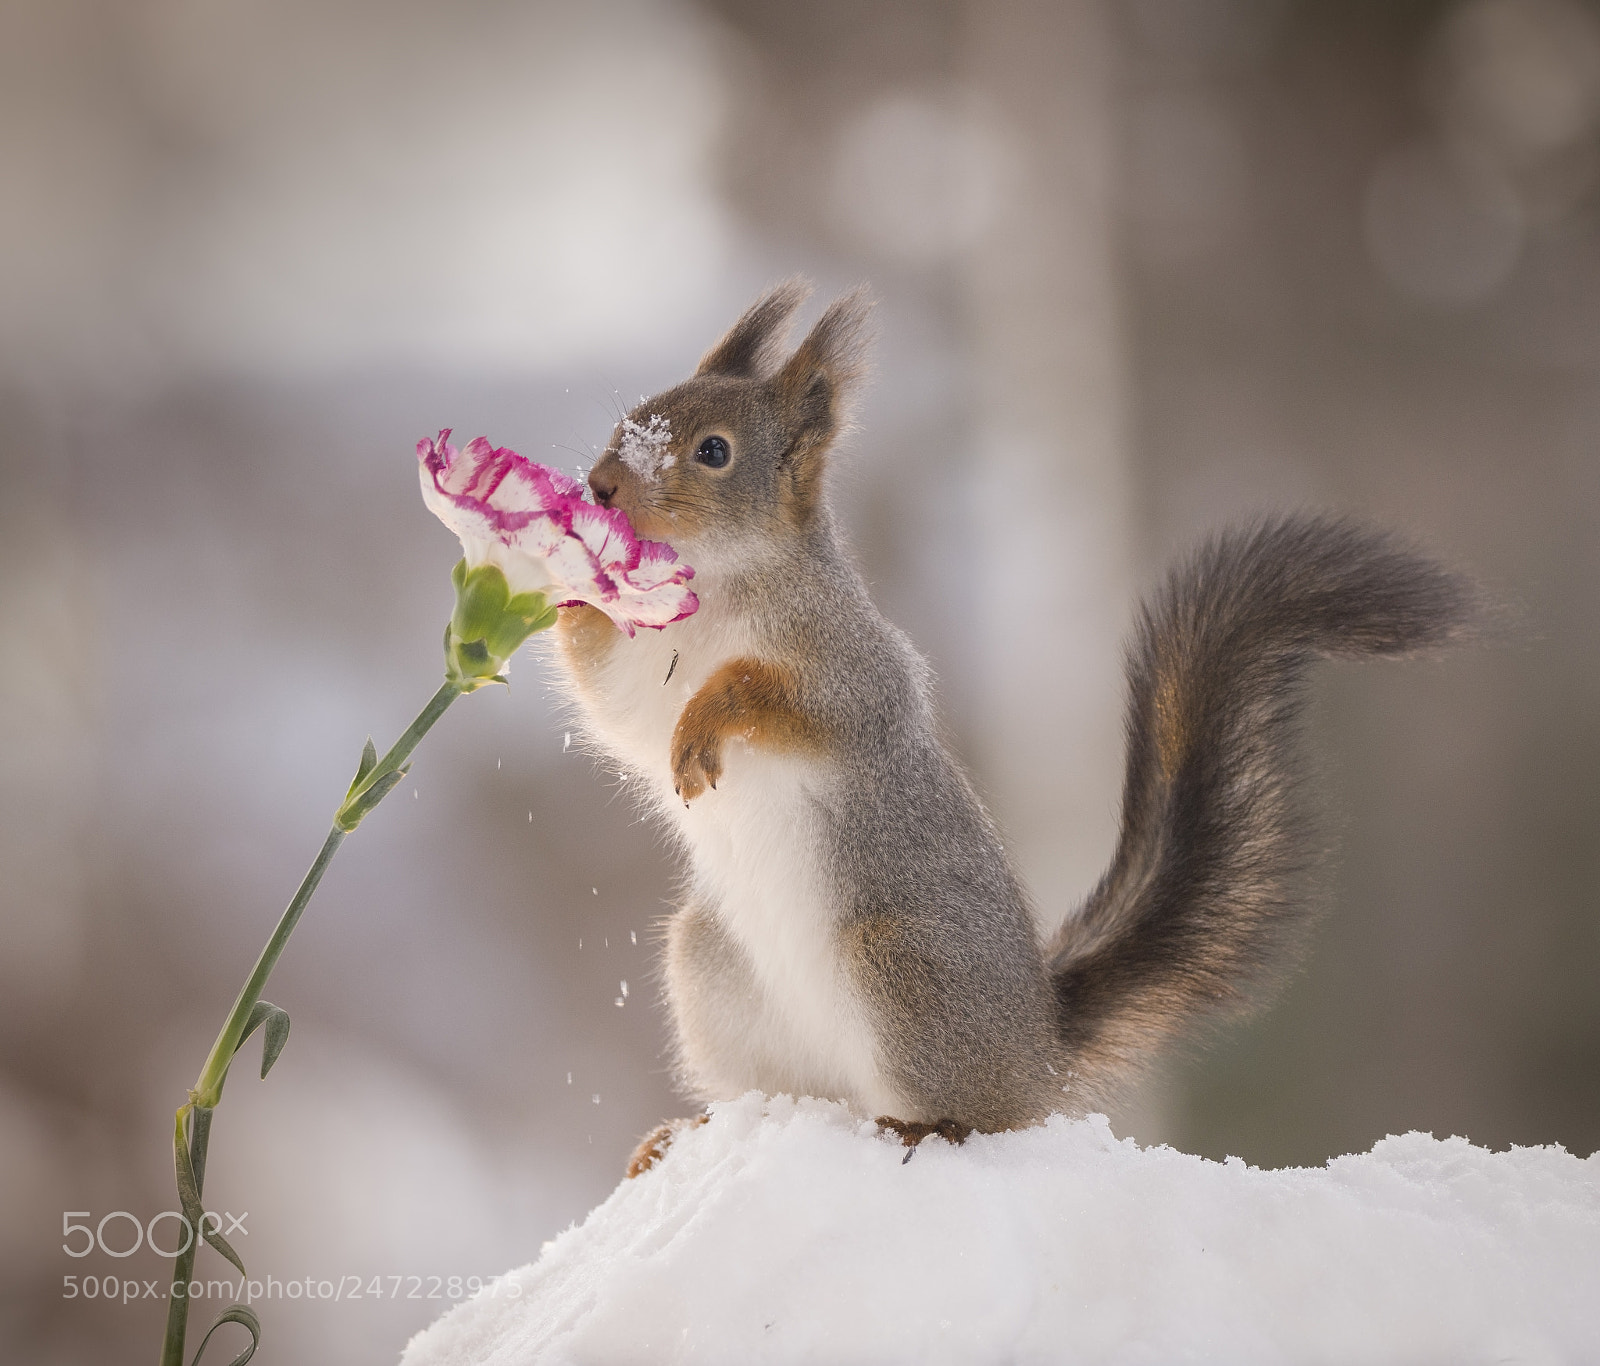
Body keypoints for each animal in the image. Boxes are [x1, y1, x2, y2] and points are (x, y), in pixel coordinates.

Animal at [552, 280, 1478, 1173]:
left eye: (714, 451)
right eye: (634, 415)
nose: (600, 486)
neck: (711, 583)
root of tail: (1041, 1052)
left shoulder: (851, 666)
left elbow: (790, 701)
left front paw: (711, 709)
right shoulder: (642, 681)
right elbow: (616, 708)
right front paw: (566, 574)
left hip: (904, 968)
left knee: (985, 1115)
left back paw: (930, 1126)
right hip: (716, 971)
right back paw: (685, 1134)